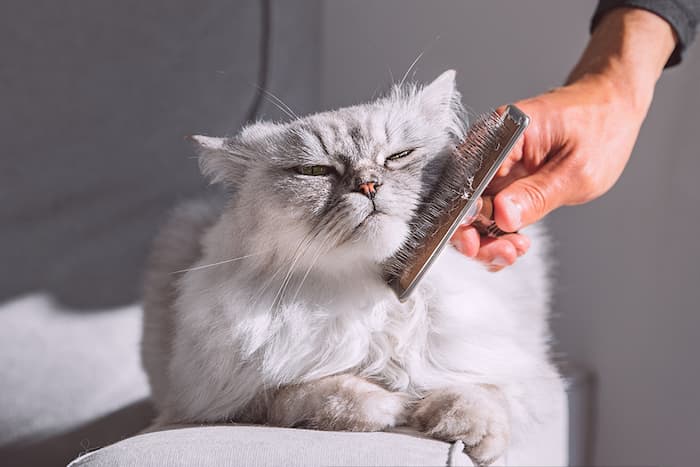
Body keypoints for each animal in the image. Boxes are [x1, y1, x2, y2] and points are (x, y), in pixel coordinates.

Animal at [141, 69, 564, 464]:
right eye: (316, 172)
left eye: (397, 157)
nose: (369, 185)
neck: (378, 296)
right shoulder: (224, 401)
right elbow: (326, 394)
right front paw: (397, 407)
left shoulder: (515, 368)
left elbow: (480, 392)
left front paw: (470, 434)